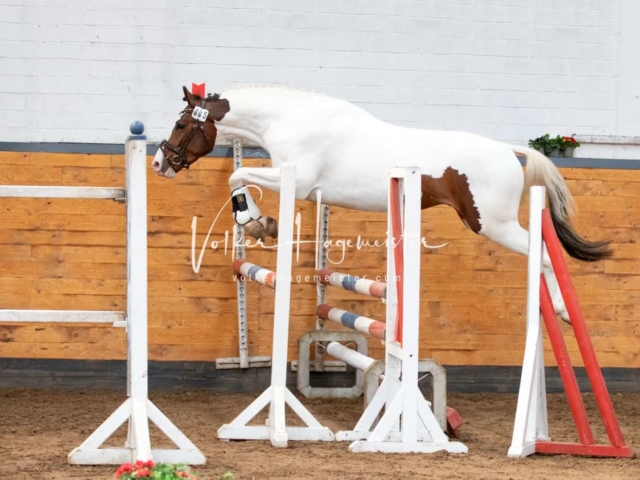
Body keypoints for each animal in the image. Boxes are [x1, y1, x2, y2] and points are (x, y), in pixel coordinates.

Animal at [152, 85, 612, 322]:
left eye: (180, 124)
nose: (159, 163)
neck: (291, 120)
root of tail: (509, 151)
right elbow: (237, 177)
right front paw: (259, 223)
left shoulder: (295, 182)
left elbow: (237, 176)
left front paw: (256, 222)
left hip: (492, 223)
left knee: (544, 255)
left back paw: (559, 309)